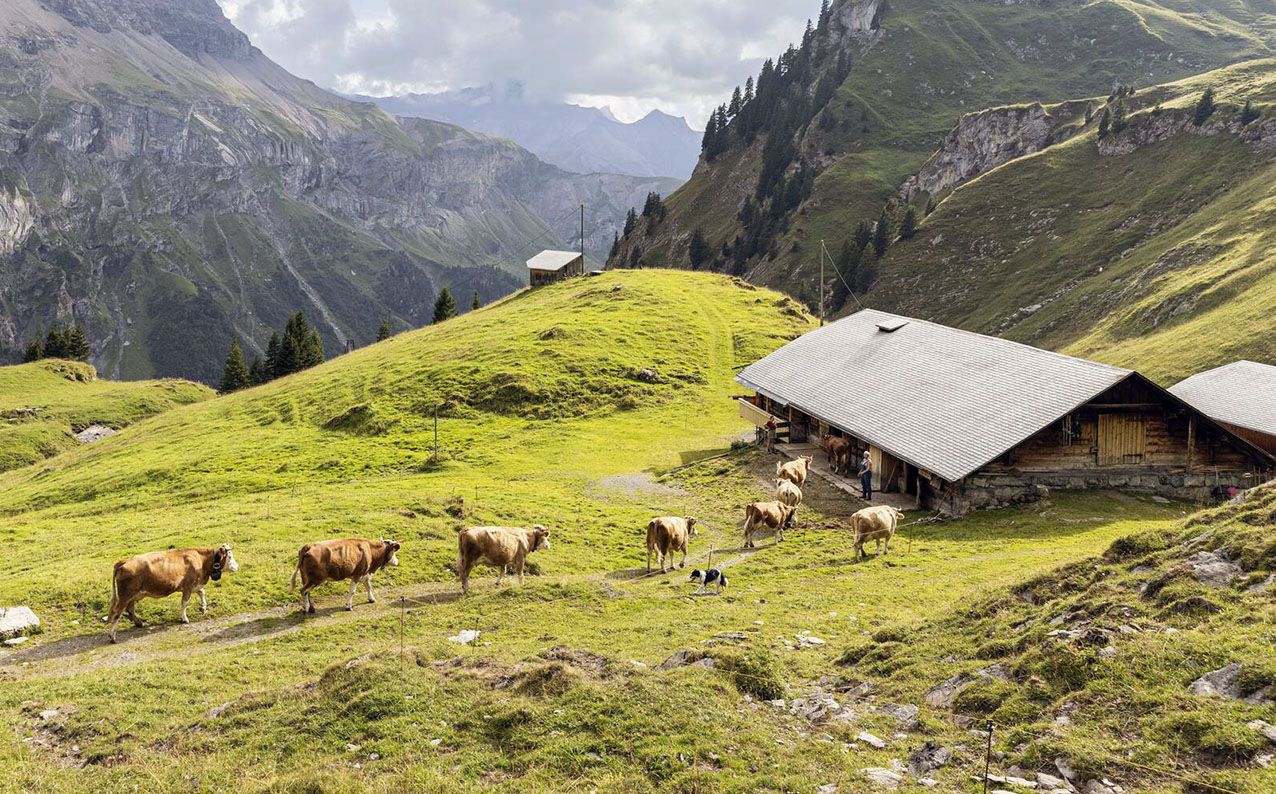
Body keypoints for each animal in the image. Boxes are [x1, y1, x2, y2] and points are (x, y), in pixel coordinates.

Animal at [107, 543, 239, 643]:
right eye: (230, 557)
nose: (237, 567)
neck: (201, 560)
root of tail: (124, 561)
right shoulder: (188, 586)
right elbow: (185, 602)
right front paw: (184, 618)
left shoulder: (195, 584)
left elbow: (202, 592)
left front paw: (203, 607)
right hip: (125, 596)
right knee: (117, 613)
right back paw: (112, 636)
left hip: (133, 594)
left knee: (130, 608)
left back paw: (138, 622)